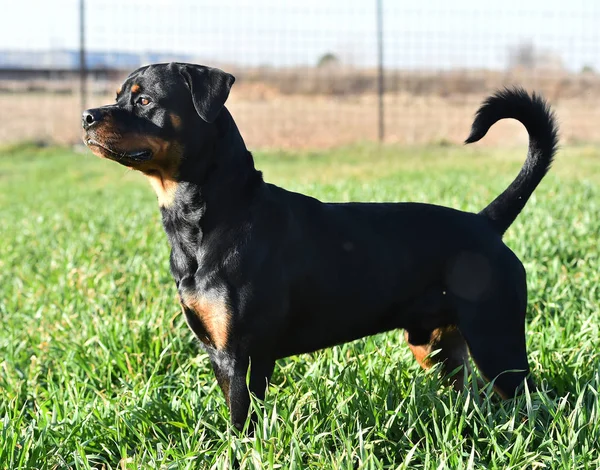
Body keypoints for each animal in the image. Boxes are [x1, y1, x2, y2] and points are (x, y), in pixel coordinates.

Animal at [81, 62, 556, 430]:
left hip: (497, 342)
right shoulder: (220, 354)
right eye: (118, 96)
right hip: (436, 345)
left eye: (145, 101)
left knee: (537, 401)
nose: (86, 115)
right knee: (470, 392)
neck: (208, 218)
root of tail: (484, 224)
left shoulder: (243, 356)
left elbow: (240, 425)